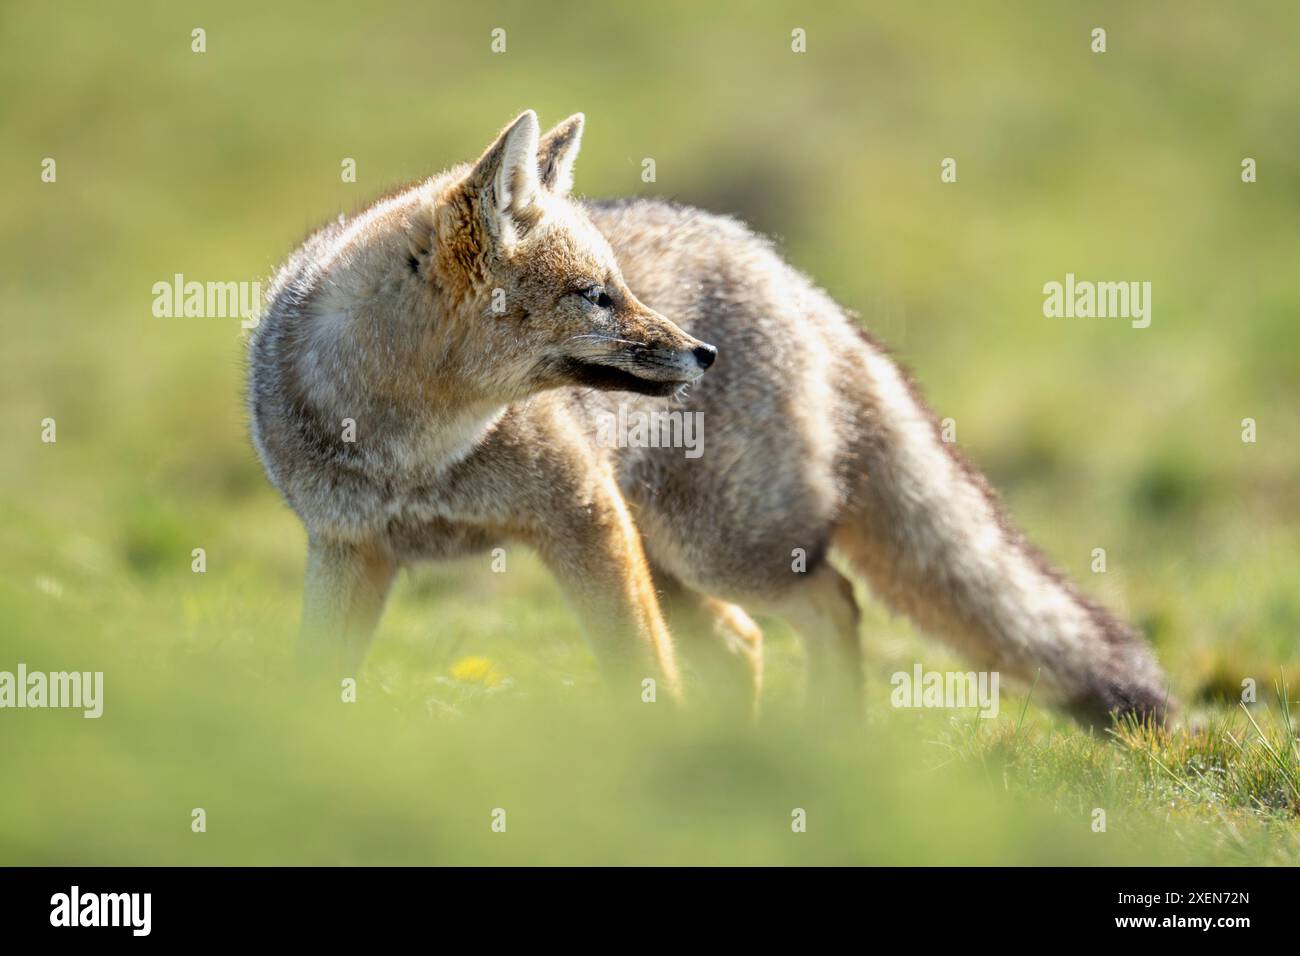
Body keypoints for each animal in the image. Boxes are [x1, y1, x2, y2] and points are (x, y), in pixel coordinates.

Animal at [247, 109, 1173, 727]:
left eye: (620, 289)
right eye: (596, 297)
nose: (704, 354)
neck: (411, 450)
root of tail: (793, 277)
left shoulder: (581, 519)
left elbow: (641, 675)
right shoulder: (349, 550)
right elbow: (311, 684)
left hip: (715, 551)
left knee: (832, 600)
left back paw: (828, 746)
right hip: (671, 562)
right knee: (742, 641)